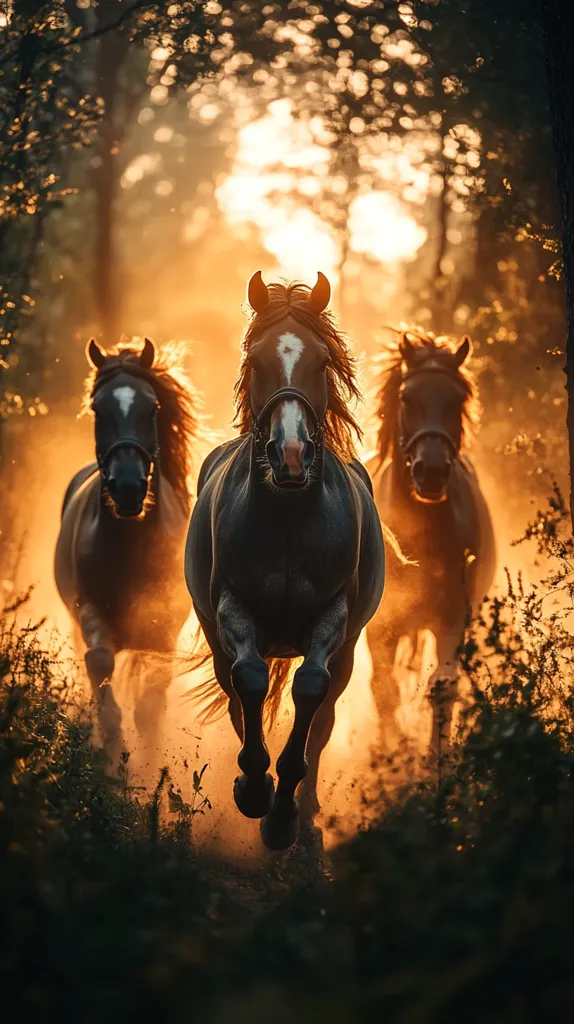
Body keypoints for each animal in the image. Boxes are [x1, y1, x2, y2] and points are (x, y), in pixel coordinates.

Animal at [54, 338, 198, 763]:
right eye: (98, 409)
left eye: (152, 407)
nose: (129, 487)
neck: (129, 546)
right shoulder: (89, 611)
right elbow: (99, 666)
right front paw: (112, 756)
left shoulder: (162, 632)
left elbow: (150, 706)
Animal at [184, 271, 386, 851]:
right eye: (255, 360)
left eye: (321, 361)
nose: (291, 456)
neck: (290, 517)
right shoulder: (232, 608)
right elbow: (250, 680)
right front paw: (255, 791)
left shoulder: (334, 618)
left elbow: (311, 692)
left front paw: (283, 817)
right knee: (236, 693)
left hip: (348, 651)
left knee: (324, 717)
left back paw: (305, 808)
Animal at [366, 329, 496, 761]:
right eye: (407, 399)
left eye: (457, 400)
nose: (433, 471)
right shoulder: (381, 629)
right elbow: (384, 690)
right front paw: (392, 758)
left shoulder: (452, 621)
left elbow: (442, 689)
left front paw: (436, 764)